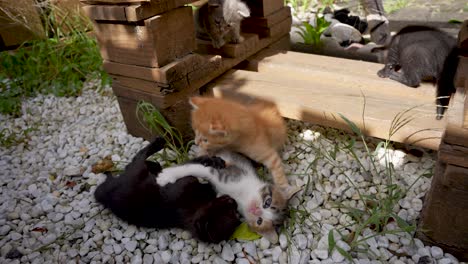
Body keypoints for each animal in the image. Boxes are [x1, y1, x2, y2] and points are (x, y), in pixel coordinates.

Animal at [94, 137, 241, 242]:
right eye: (230, 210)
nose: (233, 201)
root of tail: (106, 197)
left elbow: (191, 165)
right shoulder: (186, 181)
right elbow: (190, 163)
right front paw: (214, 161)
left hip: (129, 174)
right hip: (137, 170)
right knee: (141, 156)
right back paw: (158, 145)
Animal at [155, 150, 298, 242]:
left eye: (260, 221)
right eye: (267, 203)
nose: (255, 209)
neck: (243, 197)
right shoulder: (228, 174)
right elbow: (197, 169)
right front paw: (167, 175)